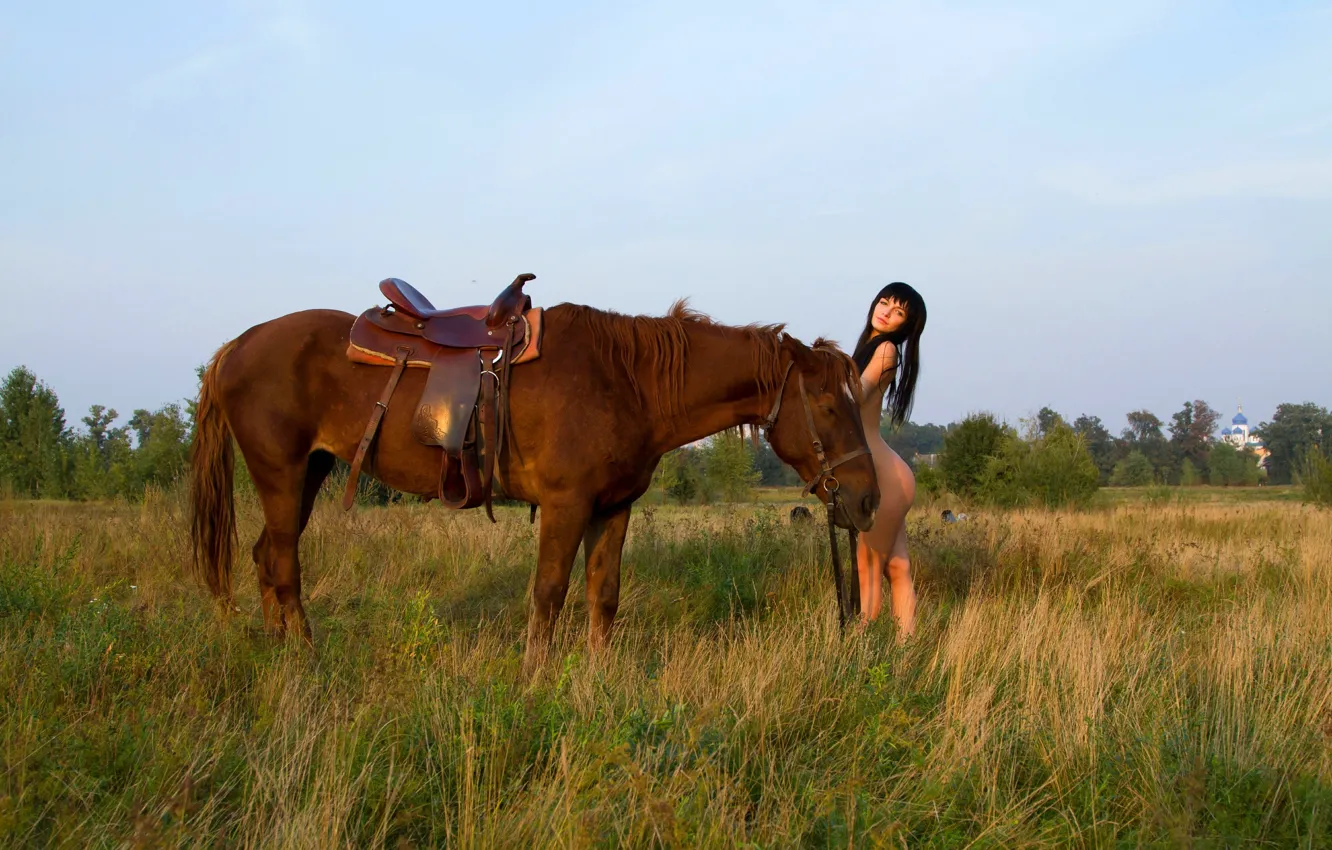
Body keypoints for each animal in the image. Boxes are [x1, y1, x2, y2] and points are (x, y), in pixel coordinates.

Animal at [189, 293, 879, 671]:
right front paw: (534, 678)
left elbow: (604, 594)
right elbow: (548, 594)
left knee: (265, 556)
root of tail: (234, 347)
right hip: (282, 473)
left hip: (308, 472)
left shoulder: (613, 507)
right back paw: (306, 660)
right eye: (826, 403)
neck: (627, 381)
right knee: (284, 565)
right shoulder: (565, 505)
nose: (868, 498)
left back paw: (276, 650)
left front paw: (600, 677)